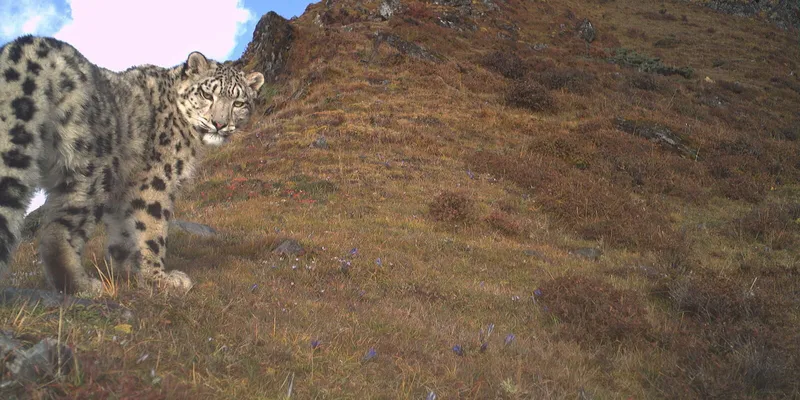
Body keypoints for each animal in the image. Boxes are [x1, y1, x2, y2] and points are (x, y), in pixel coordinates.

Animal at [0, 35, 264, 295]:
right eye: (207, 95)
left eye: (239, 103)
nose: (219, 124)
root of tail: (33, 47)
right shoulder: (155, 179)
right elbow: (151, 227)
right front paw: (159, 278)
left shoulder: (123, 188)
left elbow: (123, 231)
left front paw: (126, 269)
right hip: (90, 169)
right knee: (58, 229)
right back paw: (81, 285)